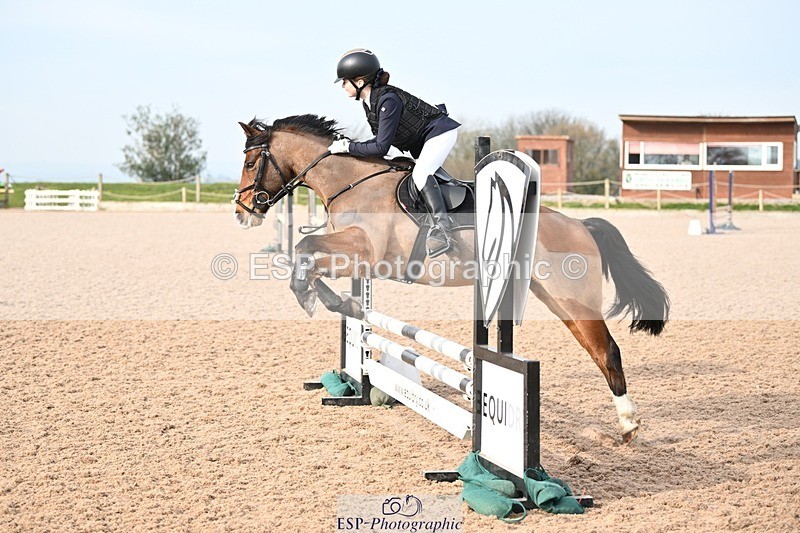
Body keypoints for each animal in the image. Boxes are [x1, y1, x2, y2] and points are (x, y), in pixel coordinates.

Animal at [233, 114, 670, 443]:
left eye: (252, 164)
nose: (242, 211)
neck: (351, 182)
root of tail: (581, 224)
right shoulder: (354, 256)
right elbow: (306, 255)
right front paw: (345, 304)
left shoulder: (367, 254)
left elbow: (304, 251)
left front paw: (316, 299)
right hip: (556, 300)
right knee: (596, 351)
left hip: (574, 299)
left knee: (607, 350)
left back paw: (629, 425)